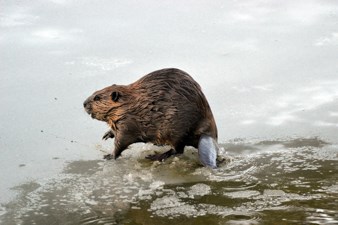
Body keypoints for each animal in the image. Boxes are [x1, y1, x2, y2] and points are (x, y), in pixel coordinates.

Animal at [83, 68, 218, 169]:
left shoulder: (127, 124)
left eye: (97, 98)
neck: (128, 105)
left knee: (178, 149)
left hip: (176, 130)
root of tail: (209, 135)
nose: (84, 103)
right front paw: (107, 134)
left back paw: (155, 156)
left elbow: (121, 142)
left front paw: (110, 156)